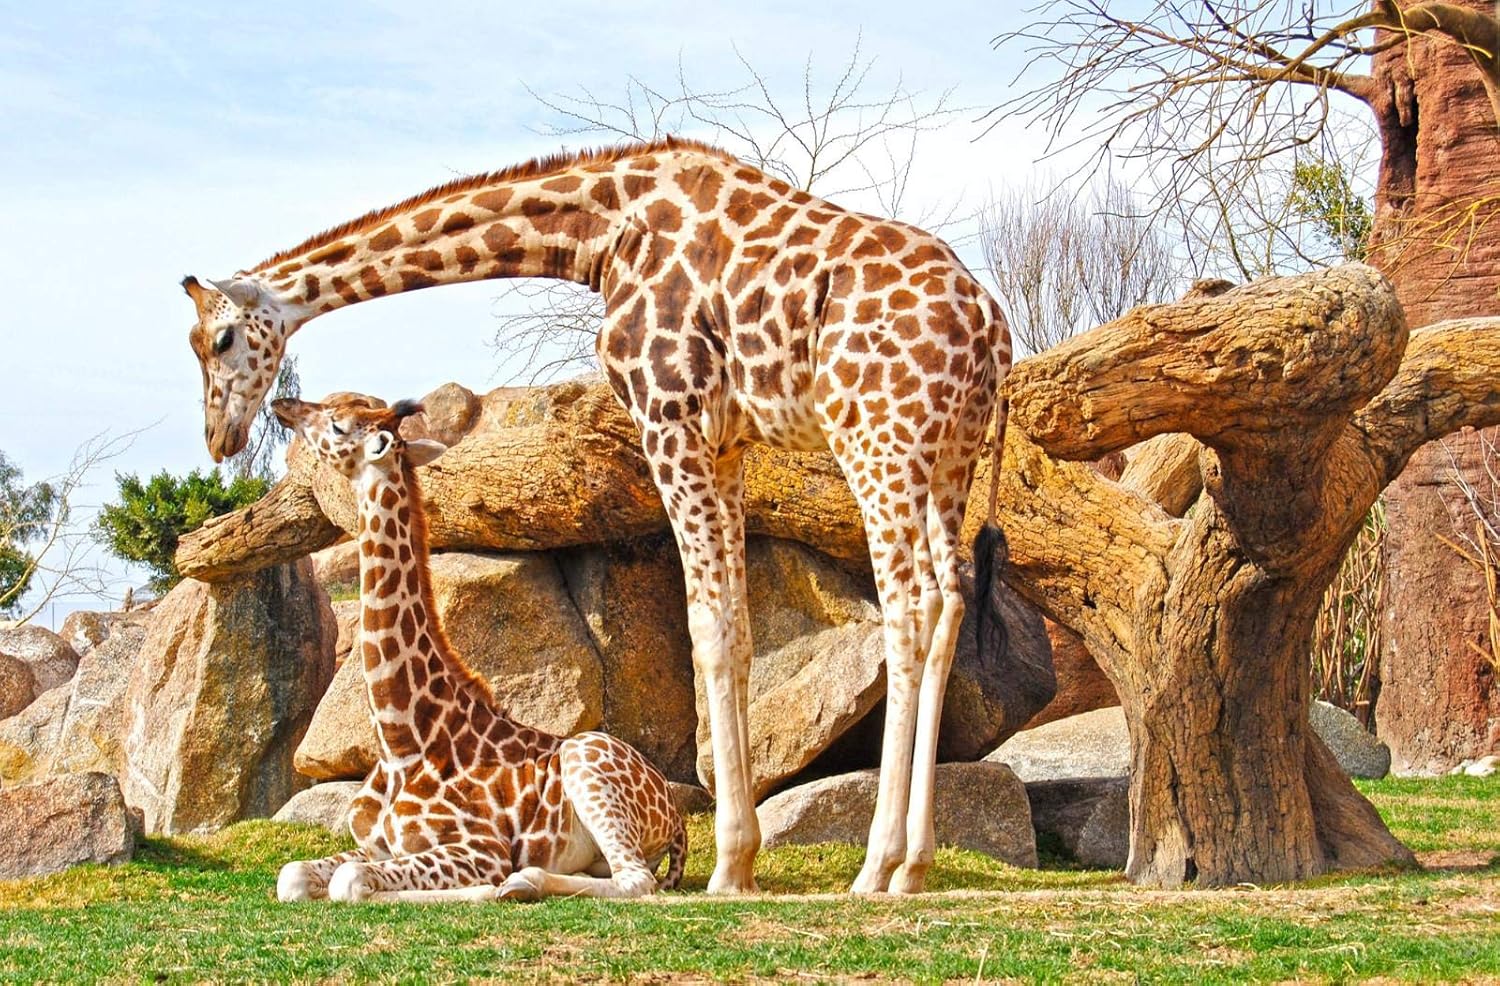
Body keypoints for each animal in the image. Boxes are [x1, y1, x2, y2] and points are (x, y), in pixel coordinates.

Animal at [271, 394, 686, 903]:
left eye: (336, 423)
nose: (283, 405)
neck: (401, 739)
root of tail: (674, 812)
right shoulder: (374, 845)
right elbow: (292, 875)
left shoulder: (480, 846)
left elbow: (349, 883)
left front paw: (482, 890)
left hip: (586, 760)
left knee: (636, 880)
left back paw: (521, 882)